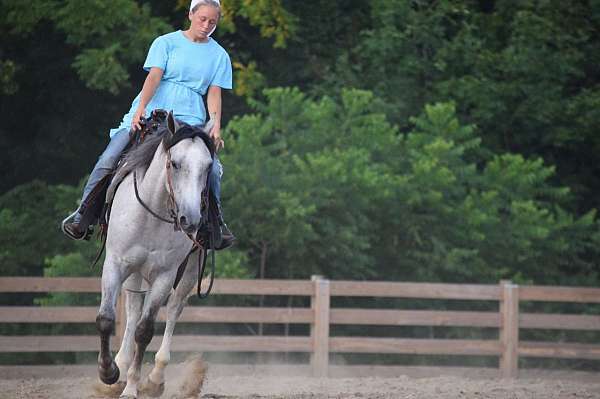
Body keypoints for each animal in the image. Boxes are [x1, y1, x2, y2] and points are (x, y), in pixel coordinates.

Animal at [95, 113, 213, 399]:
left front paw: (133, 387)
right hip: (135, 272)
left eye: (208, 167)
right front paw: (109, 373)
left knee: (173, 309)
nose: (191, 219)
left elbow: (145, 330)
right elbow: (107, 319)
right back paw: (120, 364)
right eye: (174, 163)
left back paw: (155, 377)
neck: (153, 211)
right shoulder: (115, 264)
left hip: (188, 271)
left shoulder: (164, 276)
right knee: (133, 307)